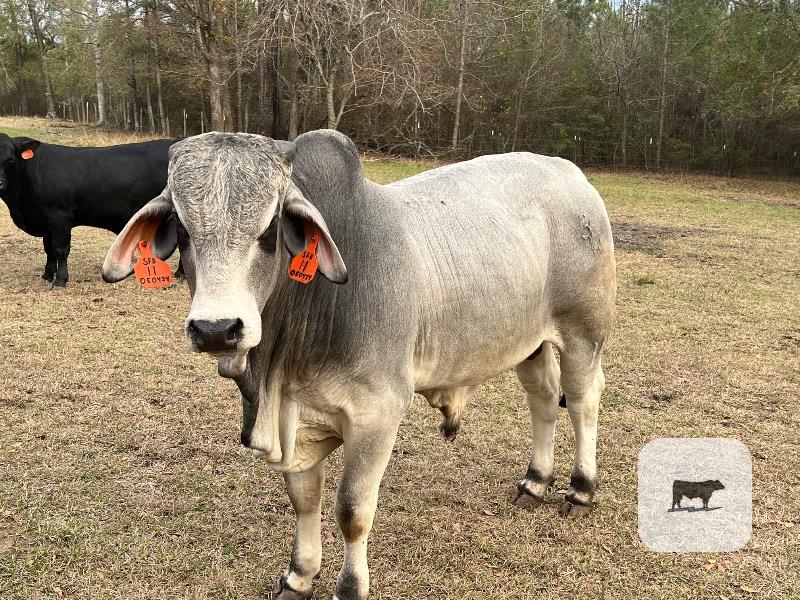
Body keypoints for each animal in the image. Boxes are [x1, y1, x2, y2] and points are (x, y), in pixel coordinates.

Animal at [0, 133, 177, 289]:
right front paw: (47, 275)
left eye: (11, 160)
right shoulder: (45, 219)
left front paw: (60, 280)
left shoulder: (59, 216)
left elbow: (60, 249)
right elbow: (48, 248)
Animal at [101, 130, 616, 600]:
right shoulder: (298, 421)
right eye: (182, 230)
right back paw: (535, 482)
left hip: (583, 333)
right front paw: (298, 577)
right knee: (543, 399)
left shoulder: (377, 415)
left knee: (583, 400)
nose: (216, 328)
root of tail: (569, 172)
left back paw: (580, 488)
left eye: (270, 230)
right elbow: (303, 501)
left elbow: (351, 512)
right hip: (528, 343)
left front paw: (349, 588)